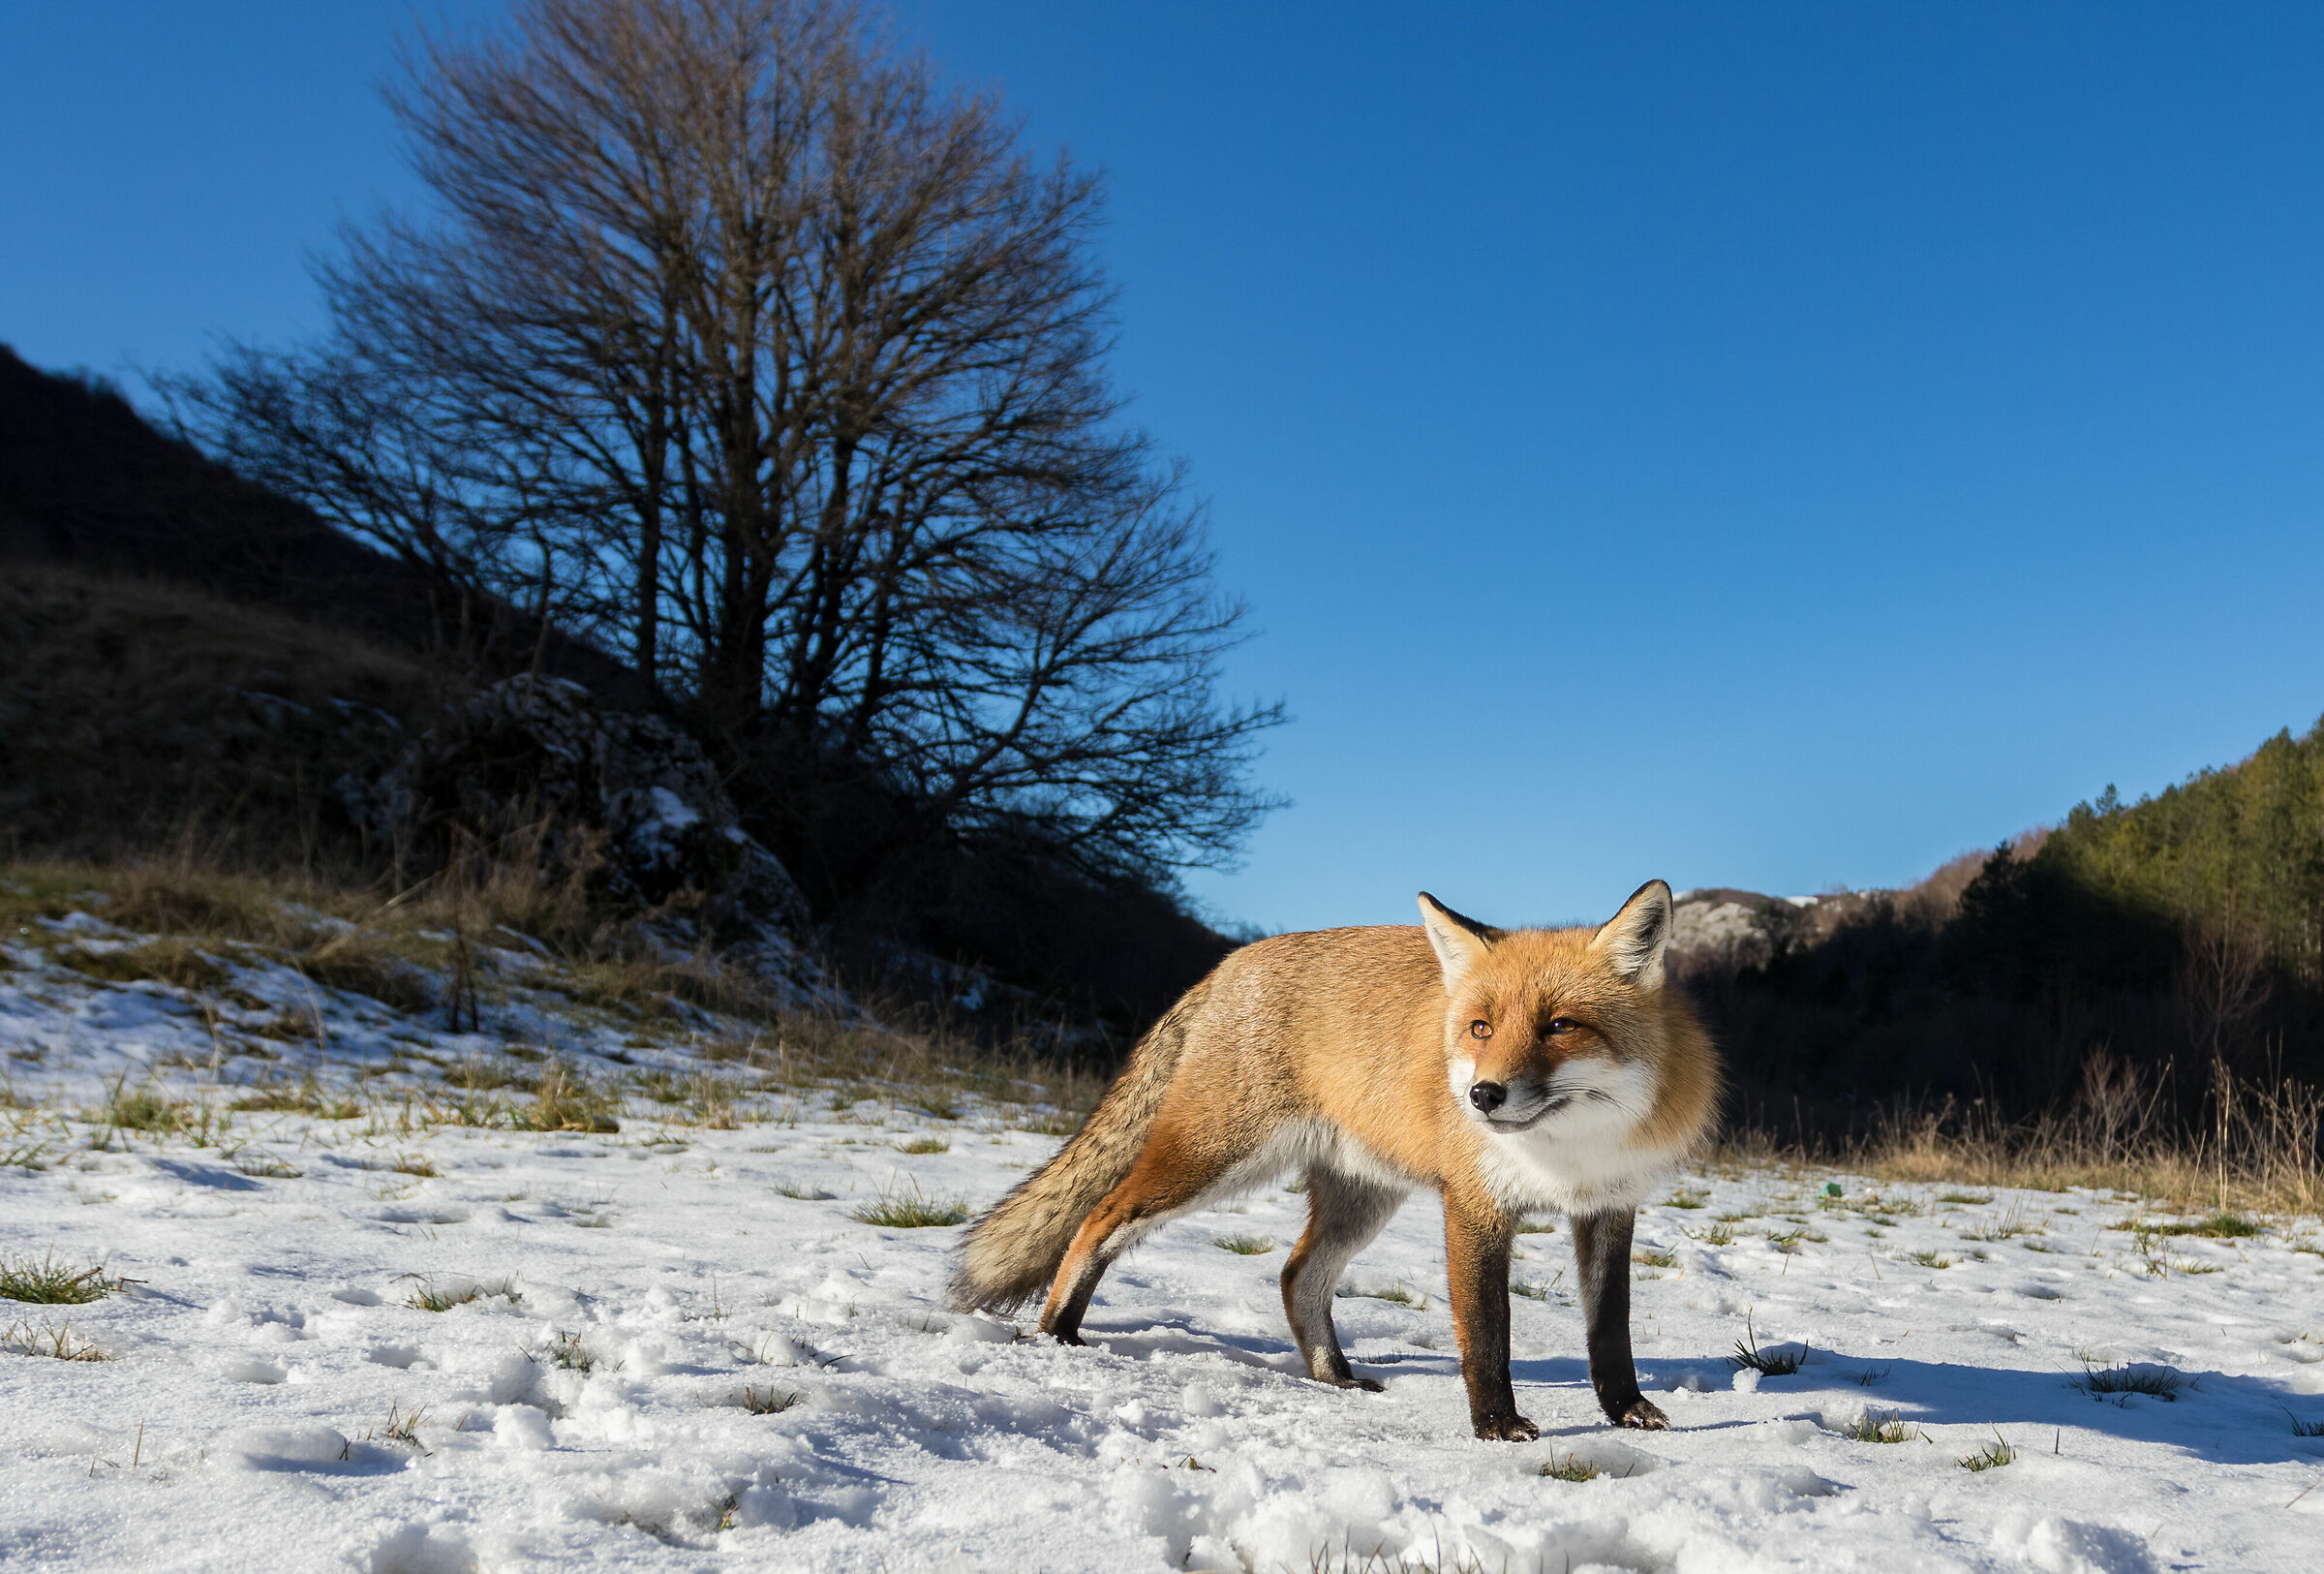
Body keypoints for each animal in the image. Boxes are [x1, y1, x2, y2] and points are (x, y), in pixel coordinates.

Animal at [949, 879, 1720, 1441]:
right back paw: (1057, 1332)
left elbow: (1609, 1330)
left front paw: (1626, 1411)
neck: (1570, 1152)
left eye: (1560, 1025)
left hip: (1361, 1199)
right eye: (1480, 1027)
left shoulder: (1610, 1207)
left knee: (1296, 1275)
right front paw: (1496, 1425)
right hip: (1213, 1158)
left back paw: (1334, 1377)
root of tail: (1229, 963)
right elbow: (1487, 1333)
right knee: (1098, 1217)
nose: (1481, 1095)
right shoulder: (1476, 1204)